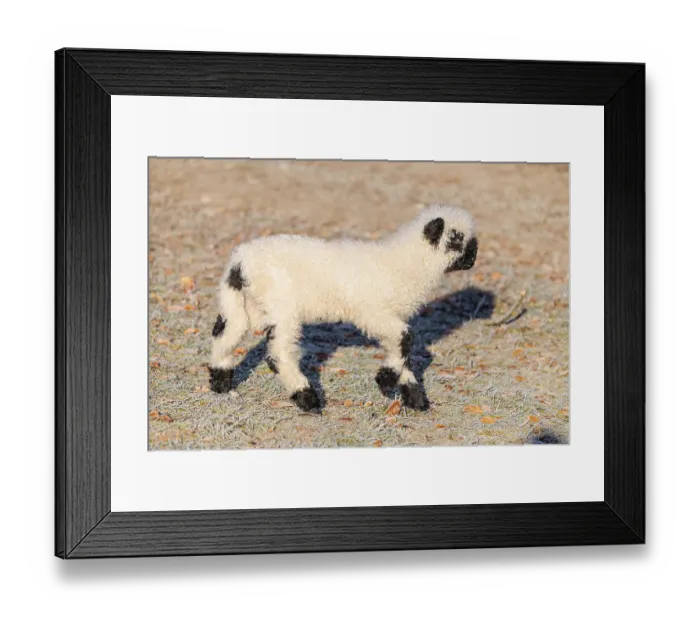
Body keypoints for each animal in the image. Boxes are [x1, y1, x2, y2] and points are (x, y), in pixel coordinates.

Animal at [208, 204, 478, 413]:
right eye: (456, 238)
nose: (473, 258)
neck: (403, 263)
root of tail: (240, 261)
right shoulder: (374, 313)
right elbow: (405, 339)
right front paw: (385, 381)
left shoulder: (386, 319)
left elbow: (402, 351)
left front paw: (413, 397)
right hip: (281, 305)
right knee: (279, 355)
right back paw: (307, 397)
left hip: (245, 304)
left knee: (225, 334)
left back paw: (220, 382)